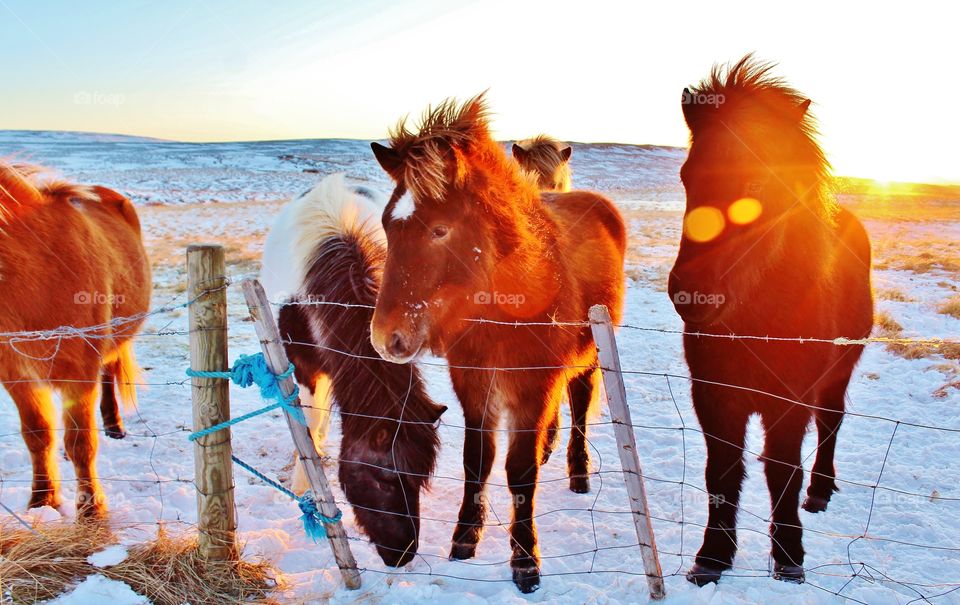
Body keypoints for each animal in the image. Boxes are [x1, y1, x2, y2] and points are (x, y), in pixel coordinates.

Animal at [0, 163, 151, 516]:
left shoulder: (79, 372)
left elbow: (82, 441)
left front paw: (91, 509)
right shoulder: (16, 375)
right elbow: (38, 435)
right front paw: (42, 501)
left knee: (108, 374)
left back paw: (114, 426)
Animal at [258, 175, 446, 568]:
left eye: (419, 480)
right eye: (386, 479)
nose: (403, 554)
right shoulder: (302, 366)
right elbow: (307, 419)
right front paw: (305, 481)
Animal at [372, 93, 628, 588]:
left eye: (439, 229)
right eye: (387, 226)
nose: (384, 338)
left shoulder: (533, 384)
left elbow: (519, 472)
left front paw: (525, 558)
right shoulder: (474, 383)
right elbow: (479, 460)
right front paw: (465, 536)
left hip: (589, 356)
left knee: (580, 402)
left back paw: (579, 471)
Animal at [672, 57, 872, 584]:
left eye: (757, 184)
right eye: (686, 176)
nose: (690, 296)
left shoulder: (790, 398)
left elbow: (782, 471)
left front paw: (789, 557)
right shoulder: (714, 394)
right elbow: (723, 471)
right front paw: (712, 557)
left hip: (838, 373)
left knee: (830, 424)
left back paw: (820, 491)